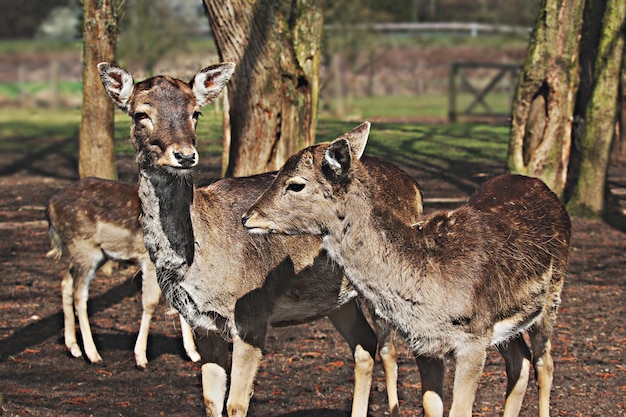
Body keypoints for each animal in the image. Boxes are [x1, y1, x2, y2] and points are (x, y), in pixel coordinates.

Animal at [45, 176, 199, 368]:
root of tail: (50, 206)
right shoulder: (150, 261)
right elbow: (150, 303)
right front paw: (140, 357)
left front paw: (193, 353)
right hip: (85, 249)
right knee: (79, 294)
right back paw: (92, 354)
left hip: (93, 254)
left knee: (66, 282)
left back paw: (73, 347)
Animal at [94, 59, 424, 416]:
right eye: (140, 113)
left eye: (196, 112)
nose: (184, 155)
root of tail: (416, 188)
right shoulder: (202, 323)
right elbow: (211, 398)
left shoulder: (251, 312)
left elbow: (237, 403)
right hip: (335, 299)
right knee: (365, 345)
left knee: (391, 348)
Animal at [243, 121, 572, 416]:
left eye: (296, 184)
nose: (248, 216)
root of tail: (546, 189)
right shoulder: (424, 345)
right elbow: (431, 405)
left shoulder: (474, 338)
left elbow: (460, 410)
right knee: (521, 361)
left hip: (552, 296)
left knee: (544, 362)